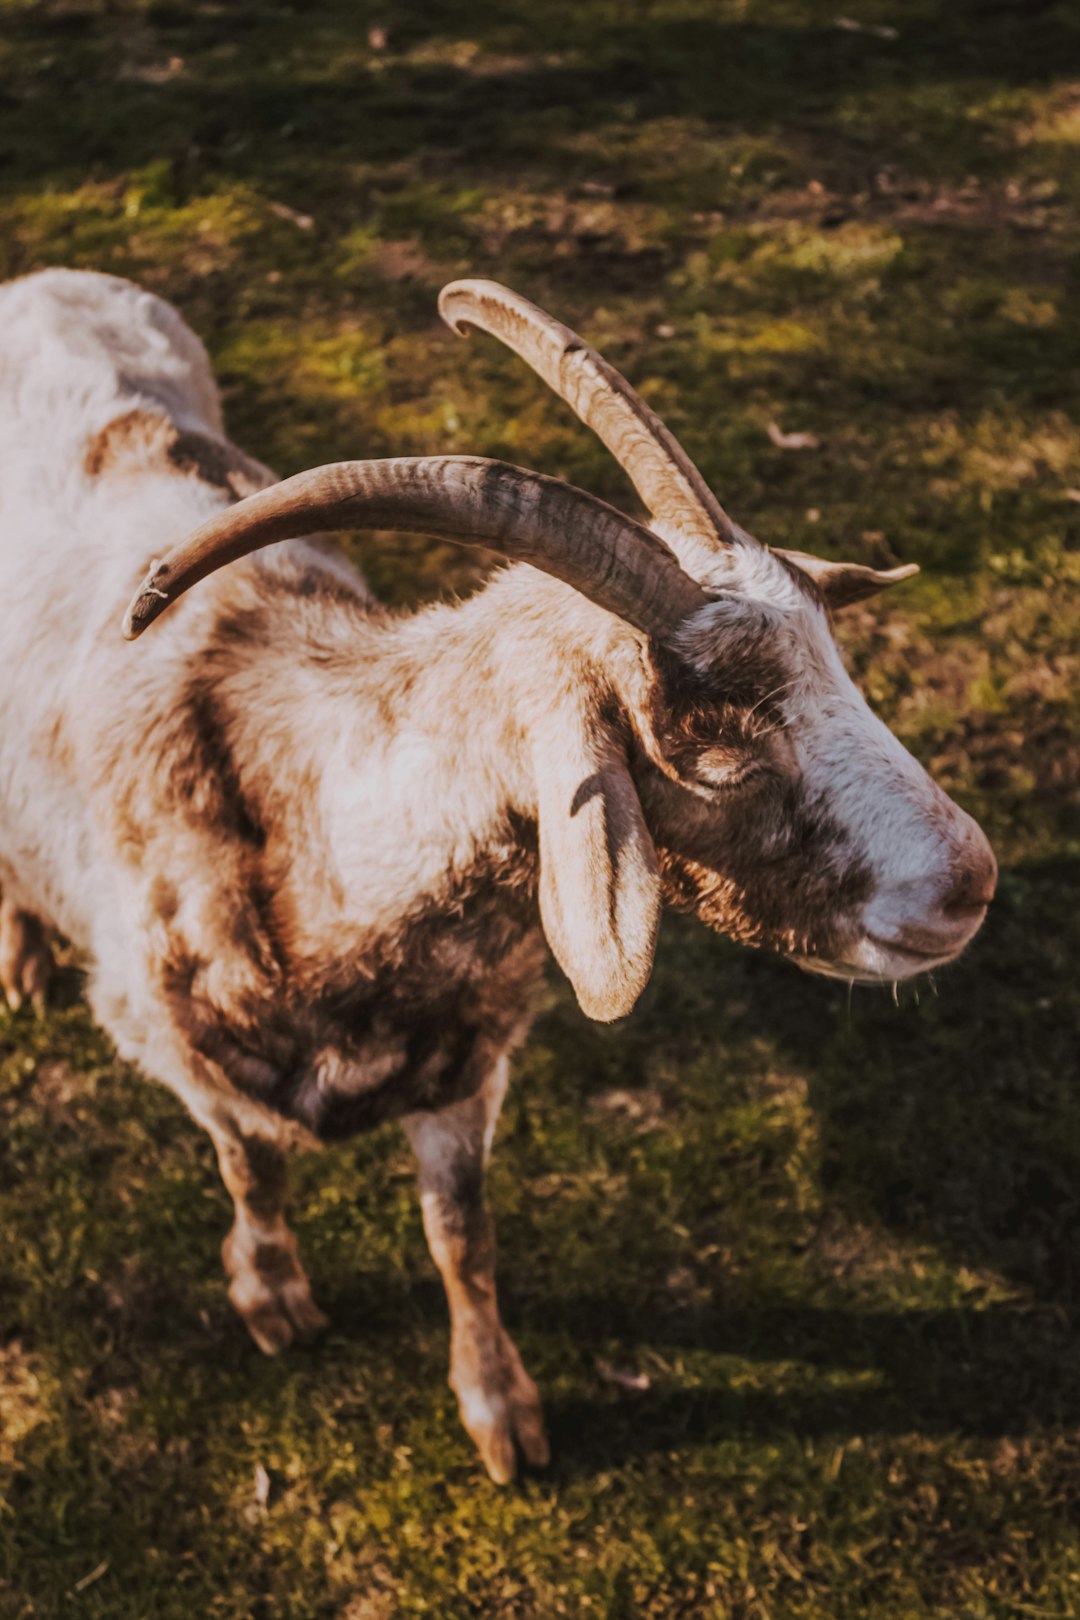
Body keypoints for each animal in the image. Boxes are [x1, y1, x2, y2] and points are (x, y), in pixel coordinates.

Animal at [0, 268, 997, 1483]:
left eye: (836, 661)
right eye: (700, 737)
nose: (969, 880)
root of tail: (46, 282)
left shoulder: (467, 1074)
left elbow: (461, 1238)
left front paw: (498, 1409)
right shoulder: (178, 1053)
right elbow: (254, 1171)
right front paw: (273, 1296)